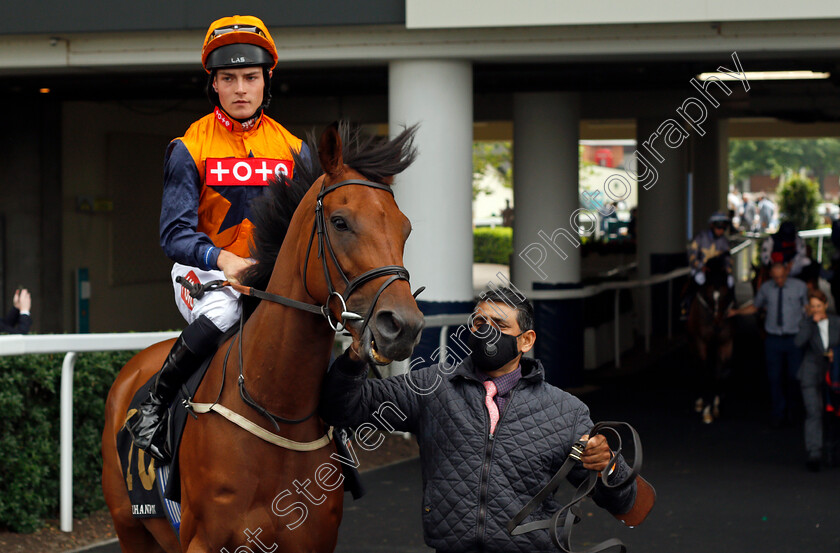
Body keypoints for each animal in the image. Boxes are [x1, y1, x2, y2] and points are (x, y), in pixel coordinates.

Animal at [101, 124, 424, 552]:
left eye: (405, 227)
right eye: (340, 222)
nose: (402, 325)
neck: (275, 408)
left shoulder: (313, 540)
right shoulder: (205, 541)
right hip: (129, 527)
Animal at [688, 254, 736, 422]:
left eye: (725, 294)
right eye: (708, 294)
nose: (717, 325)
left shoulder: (726, 343)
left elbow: (720, 373)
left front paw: (715, 406)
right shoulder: (701, 343)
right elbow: (706, 371)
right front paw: (707, 411)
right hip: (694, 342)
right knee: (698, 366)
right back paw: (699, 401)